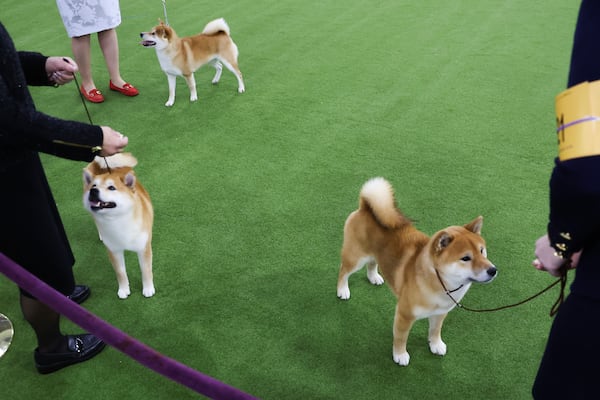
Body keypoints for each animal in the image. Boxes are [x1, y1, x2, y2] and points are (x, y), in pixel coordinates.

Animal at [84, 155, 155, 298]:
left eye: (111, 188)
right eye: (93, 185)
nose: (93, 190)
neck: (117, 220)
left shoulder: (143, 247)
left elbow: (145, 270)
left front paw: (148, 288)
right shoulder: (113, 250)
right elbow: (120, 272)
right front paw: (123, 289)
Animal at [338, 178, 496, 366]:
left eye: (482, 251)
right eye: (465, 258)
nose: (493, 270)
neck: (440, 283)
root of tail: (365, 207)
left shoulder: (441, 312)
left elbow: (435, 331)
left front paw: (435, 344)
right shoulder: (404, 314)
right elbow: (401, 338)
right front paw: (400, 355)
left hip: (375, 254)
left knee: (372, 263)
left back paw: (374, 277)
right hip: (355, 258)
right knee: (343, 272)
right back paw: (342, 290)